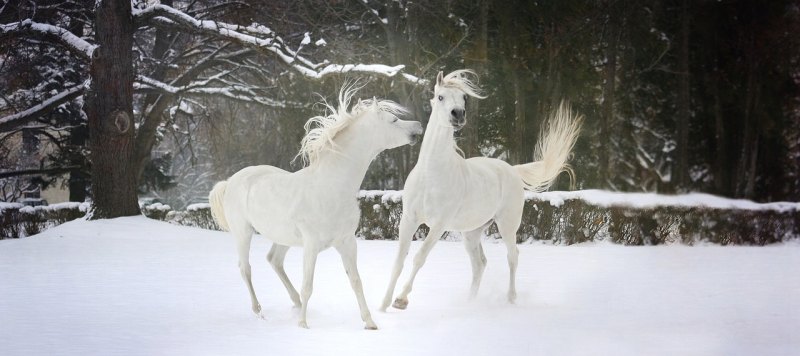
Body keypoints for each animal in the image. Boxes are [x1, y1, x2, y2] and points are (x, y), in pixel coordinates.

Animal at [209, 82, 424, 328]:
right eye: (394, 120)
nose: (418, 126)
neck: (331, 187)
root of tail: (230, 182)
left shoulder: (347, 242)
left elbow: (356, 281)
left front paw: (370, 323)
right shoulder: (311, 246)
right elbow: (308, 286)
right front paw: (303, 325)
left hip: (283, 237)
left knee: (274, 260)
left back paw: (295, 303)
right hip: (243, 233)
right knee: (246, 269)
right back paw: (259, 311)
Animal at [382, 70, 580, 312]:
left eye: (464, 98)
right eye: (440, 96)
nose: (458, 114)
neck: (431, 174)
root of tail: (512, 170)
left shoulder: (439, 225)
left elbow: (419, 257)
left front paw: (401, 300)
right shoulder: (409, 219)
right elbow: (399, 260)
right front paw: (382, 306)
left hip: (507, 225)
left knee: (512, 256)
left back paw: (510, 299)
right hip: (471, 232)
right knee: (479, 264)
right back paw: (470, 303)